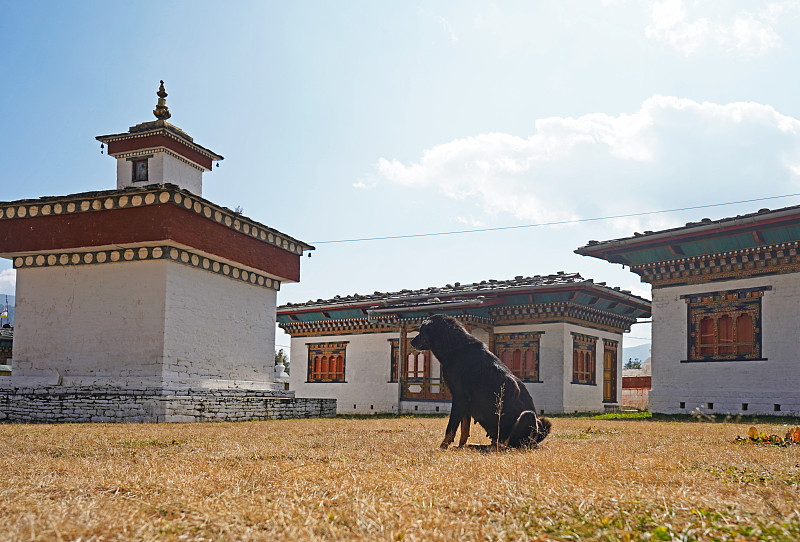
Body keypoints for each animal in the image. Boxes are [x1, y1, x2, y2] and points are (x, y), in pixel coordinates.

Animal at [412, 314, 552, 450]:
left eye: (421, 330)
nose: (411, 341)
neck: (455, 348)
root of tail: (537, 439)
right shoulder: (466, 403)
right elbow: (464, 429)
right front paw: (460, 447)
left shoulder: (460, 398)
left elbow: (451, 428)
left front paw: (443, 447)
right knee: (497, 442)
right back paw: (476, 446)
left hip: (527, 416)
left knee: (507, 444)